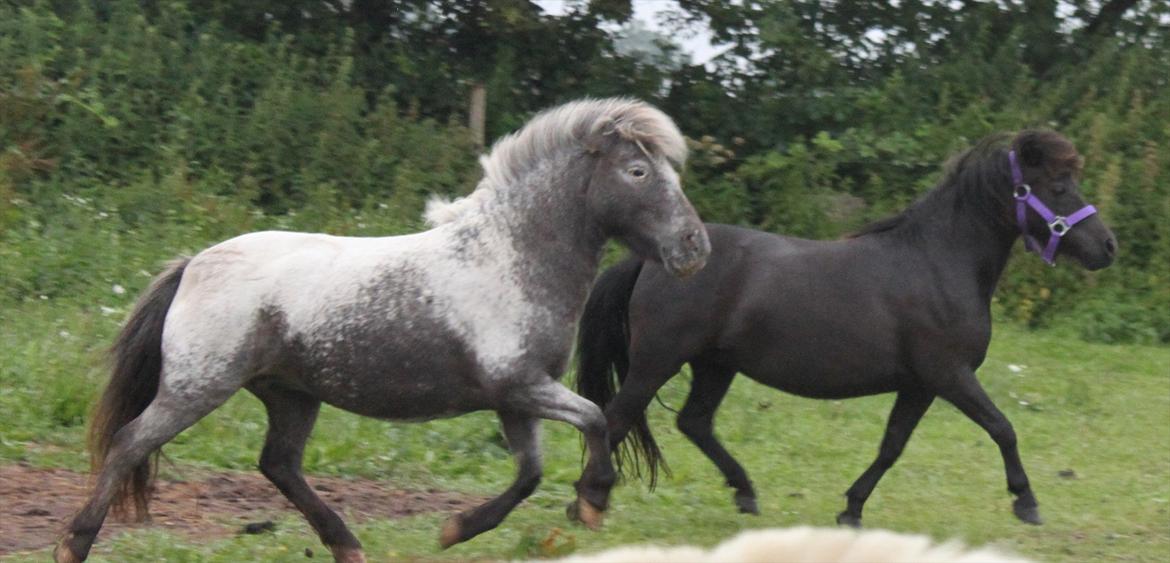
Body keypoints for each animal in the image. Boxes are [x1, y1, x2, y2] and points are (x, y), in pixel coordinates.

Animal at [54, 97, 706, 561]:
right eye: (638, 170)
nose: (694, 247)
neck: (509, 258)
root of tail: (193, 264)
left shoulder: (516, 399)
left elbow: (529, 474)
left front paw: (455, 530)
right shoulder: (521, 387)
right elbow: (594, 419)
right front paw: (592, 502)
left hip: (291, 394)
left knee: (278, 465)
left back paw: (347, 546)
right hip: (198, 387)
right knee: (130, 443)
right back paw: (72, 544)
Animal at [575, 130, 1113, 526]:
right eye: (1059, 187)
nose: (1107, 247)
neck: (937, 263)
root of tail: (653, 260)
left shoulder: (919, 386)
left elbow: (892, 447)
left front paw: (852, 508)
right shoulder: (950, 376)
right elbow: (1003, 428)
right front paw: (1027, 502)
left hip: (715, 365)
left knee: (694, 423)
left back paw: (745, 493)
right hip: (657, 361)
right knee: (616, 417)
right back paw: (587, 503)